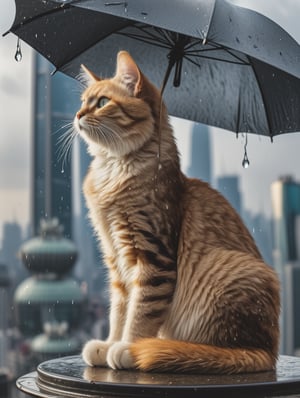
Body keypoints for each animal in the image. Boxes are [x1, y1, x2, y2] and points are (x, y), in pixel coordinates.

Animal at [74, 50, 280, 374]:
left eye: (103, 102)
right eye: (83, 101)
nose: (78, 115)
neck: (114, 169)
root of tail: (267, 352)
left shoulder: (153, 258)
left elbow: (139, 313)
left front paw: (127, 347)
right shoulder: (116, 260)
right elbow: (118, 311)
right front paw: (109, 343)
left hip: (229, 272)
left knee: (217, 349)